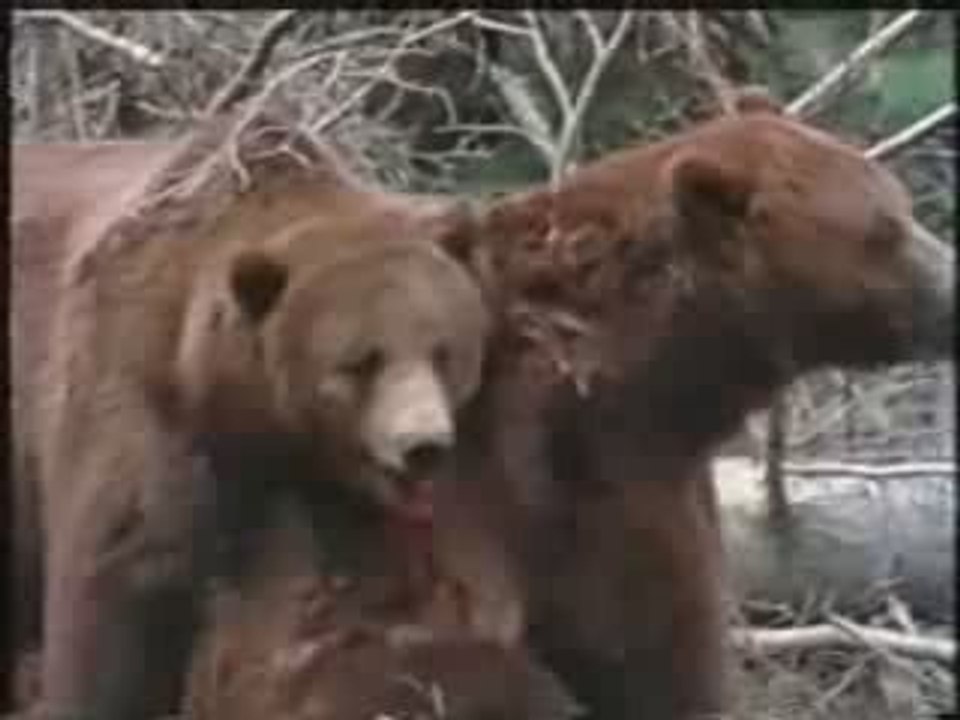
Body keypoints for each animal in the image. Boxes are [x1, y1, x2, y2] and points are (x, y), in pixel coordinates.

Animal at [11, 111, 492, 720]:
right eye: (360, 362)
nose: (422, 446)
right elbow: (113, 589)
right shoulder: (125, 385)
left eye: (443, 352)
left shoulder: (309, 491)